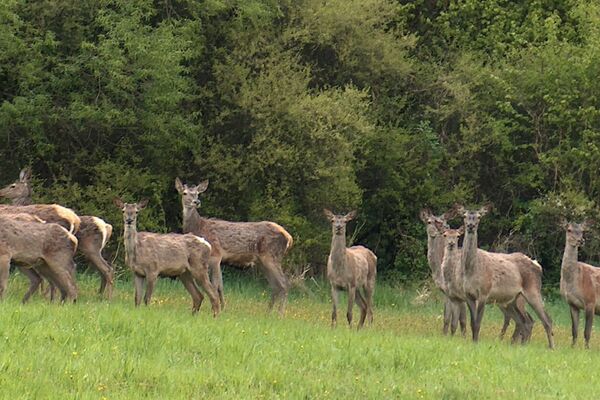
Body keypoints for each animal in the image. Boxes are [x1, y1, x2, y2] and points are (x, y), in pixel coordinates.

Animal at [0, 167, 115, 298]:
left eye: (13, 186)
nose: (1, 192)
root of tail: (107, 226)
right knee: (101, 271)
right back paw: (99, 296)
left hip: (88, 249)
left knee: (105, 270)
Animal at [175, 177, 294, 314]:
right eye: (184, 193)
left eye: (198, 193)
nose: (196, 202)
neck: (199, 227)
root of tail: (289, 237)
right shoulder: (217, 259)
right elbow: (220, 285)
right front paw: (223, 307)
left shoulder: (216, 255)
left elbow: (216, 285)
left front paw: (216, 308)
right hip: (262, 262)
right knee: (275, 285)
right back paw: (268, 312)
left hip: (271, 256)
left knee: (284, 283)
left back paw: (280, 314)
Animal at [460, 205, 552, 348]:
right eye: (464, 216)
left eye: (479, 217)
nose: (470, 225)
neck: (471, 269)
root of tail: (538, 266)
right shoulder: (468, 295)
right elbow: (472, 322)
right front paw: (473, 341)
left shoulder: (484, 292)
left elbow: (478, 322)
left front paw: (476, 342)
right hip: (514, 298)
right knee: (525, 321)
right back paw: (522, 345)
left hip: (533, 291)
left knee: (546, 319)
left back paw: (551, 347)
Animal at [556, 220, 600, 348]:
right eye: (569, 229)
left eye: (582, 231)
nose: (581, 240)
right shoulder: (572, 303)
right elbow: (574, 330)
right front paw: (572, 347)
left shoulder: (591, 301)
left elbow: (587, 331)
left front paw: (587, 348)